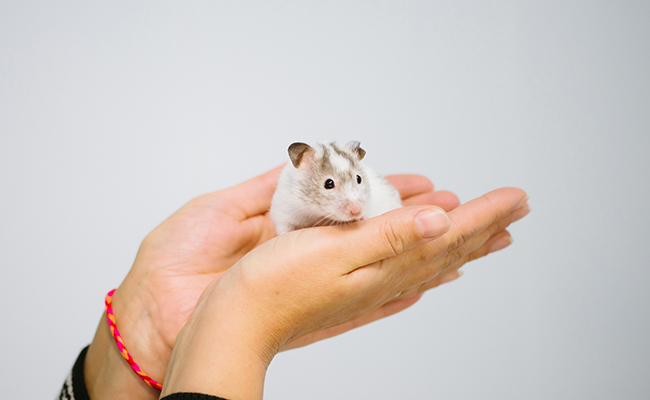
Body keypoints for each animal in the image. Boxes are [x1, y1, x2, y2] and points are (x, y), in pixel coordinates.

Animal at [268, 141, 400, 234]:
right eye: (329, 183)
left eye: (359, 178)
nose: (357, 211)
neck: (315, 212)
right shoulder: (282, 213)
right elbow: (283, 229)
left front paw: (359, 219)